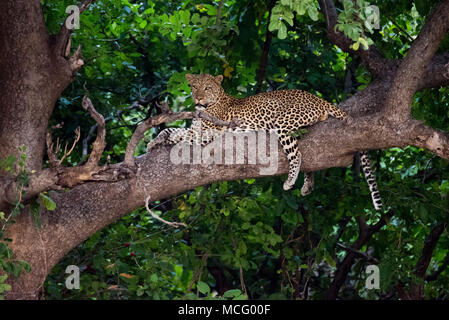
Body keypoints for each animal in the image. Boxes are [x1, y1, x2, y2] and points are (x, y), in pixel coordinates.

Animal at [146, 74, 382, 211]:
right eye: (194, 86)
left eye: (207, 88)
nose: (198, 99)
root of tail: (319, 99)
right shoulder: (196, 128)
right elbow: (171, 129)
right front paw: (154, 142)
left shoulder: (209, 133)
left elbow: (184, 135)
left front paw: (162, 141)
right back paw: (307, 186)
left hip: (282, 124)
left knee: (297, 153)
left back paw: (290, 182)